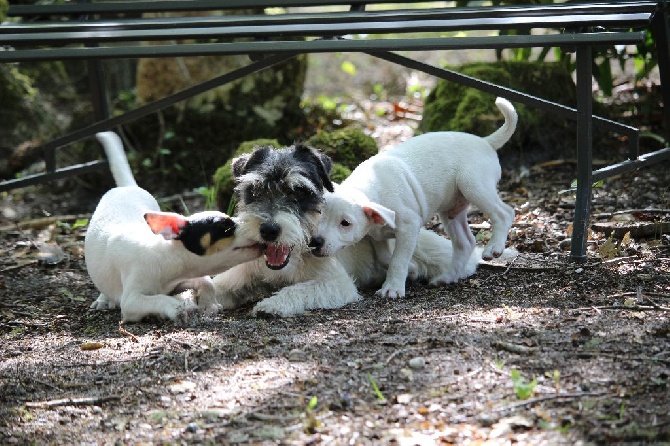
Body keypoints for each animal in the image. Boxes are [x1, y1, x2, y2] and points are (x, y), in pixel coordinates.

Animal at [84, 131, 262, 322]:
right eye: (226, 228)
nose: (260, 227)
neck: (164, 256)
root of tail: (126, 187)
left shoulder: (182, 279)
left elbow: (206, 281)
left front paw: (209, 304)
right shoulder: (131, 301)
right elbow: (157, 299)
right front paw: (177, 308)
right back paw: (102, 300)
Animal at [310, 98, 520, 300]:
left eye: (345, 223)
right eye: (318, 215)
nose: (315, 242)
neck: (370, 188)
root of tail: (485, 142)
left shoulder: (409, 227)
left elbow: (398, 259)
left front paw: (392, 288)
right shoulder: (377, 235)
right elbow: (385, 258)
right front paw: (411, 269)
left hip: (474, 186)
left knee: (504, 213)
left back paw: (494, 248)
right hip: (451, 210)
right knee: (465, 242)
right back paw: (447, 277)